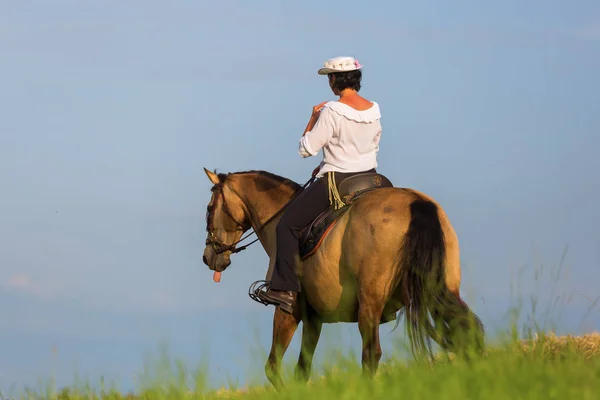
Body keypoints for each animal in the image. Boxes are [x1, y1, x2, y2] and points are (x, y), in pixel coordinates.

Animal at [204, 167, 486, 390]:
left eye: (208, 208)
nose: (209, 257)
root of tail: (415, 202)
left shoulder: (289, 310)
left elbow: (273, 367)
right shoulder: (314, 318)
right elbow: (302, 369)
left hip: (372, 302)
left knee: (371, 353)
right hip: (439, 291)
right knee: (468, 331)